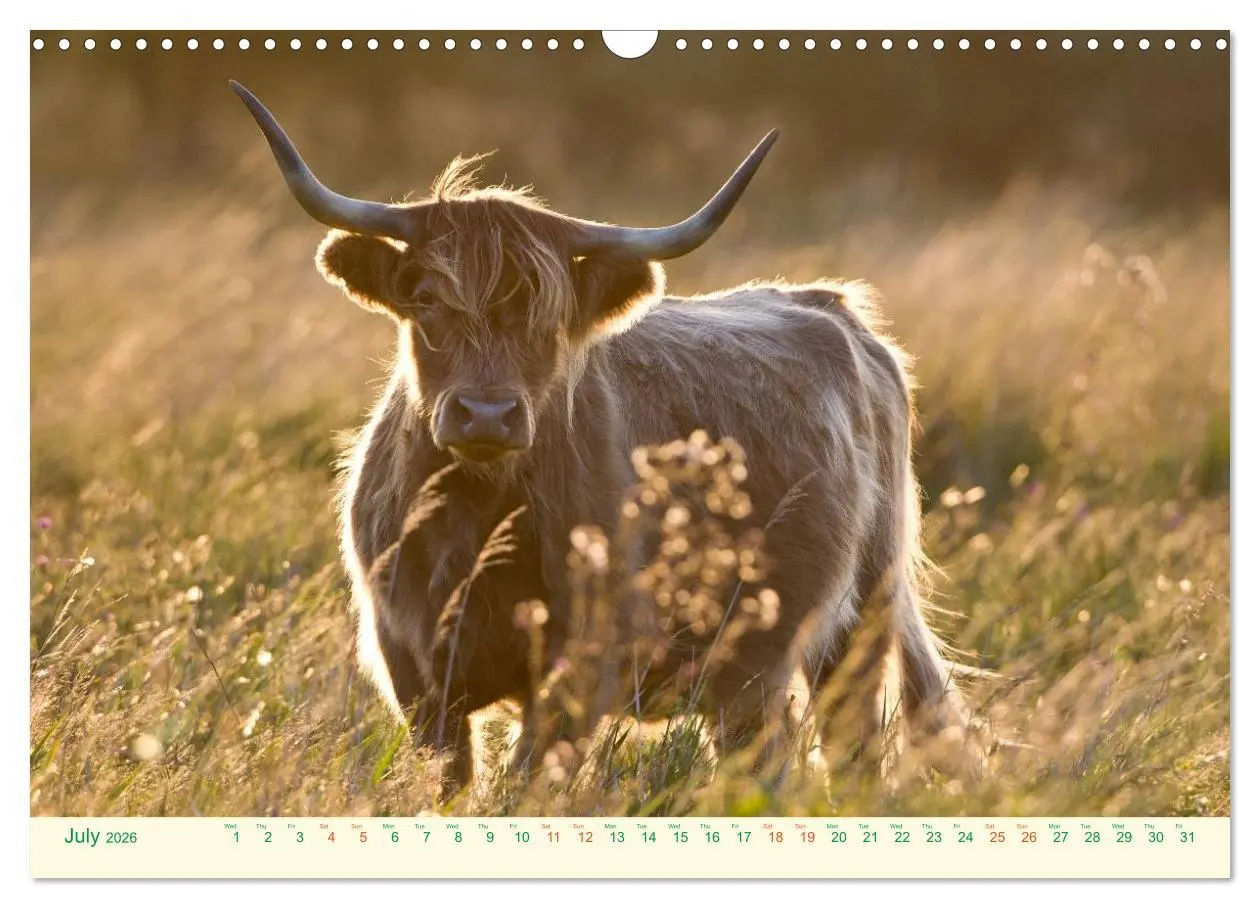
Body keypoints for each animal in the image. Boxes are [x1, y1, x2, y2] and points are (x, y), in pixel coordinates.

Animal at [231, 82, 976, 800]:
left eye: (552, 315)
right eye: (427, 300)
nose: (486, 415)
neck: (481, 520)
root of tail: (832, 306)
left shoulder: (583, 665)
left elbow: (526, 785)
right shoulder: (414, 668)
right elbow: (450, 785)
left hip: (858, 620)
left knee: (850, 748)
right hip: (750, 669)